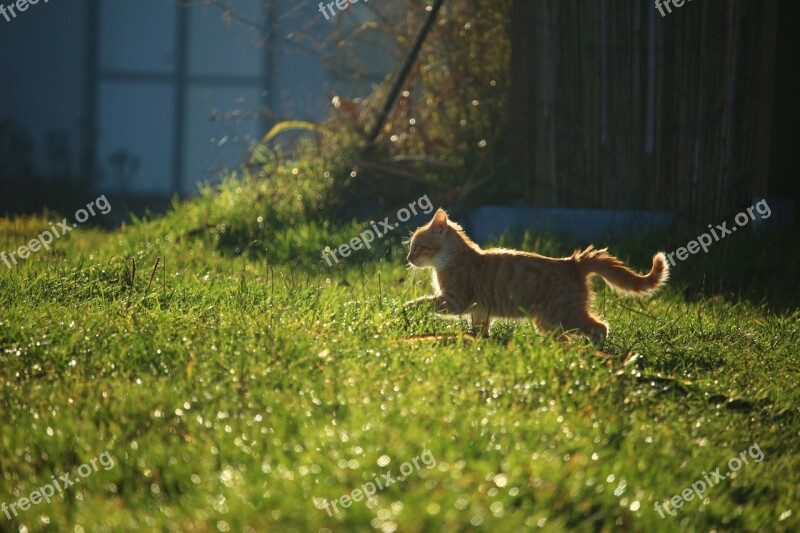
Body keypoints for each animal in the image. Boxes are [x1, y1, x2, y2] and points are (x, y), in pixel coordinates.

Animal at [404, 208, 672, 340]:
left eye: (416, 246)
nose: (408, 259)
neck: (451, 259)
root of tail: (572, 262)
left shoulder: (455, 300)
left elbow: (422, 303)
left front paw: (403, 308)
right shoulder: (478, 311)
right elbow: (479, 330)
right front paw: (479, 343)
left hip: (565, 314)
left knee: (600, 328)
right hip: (547, 322)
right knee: (566, 338)